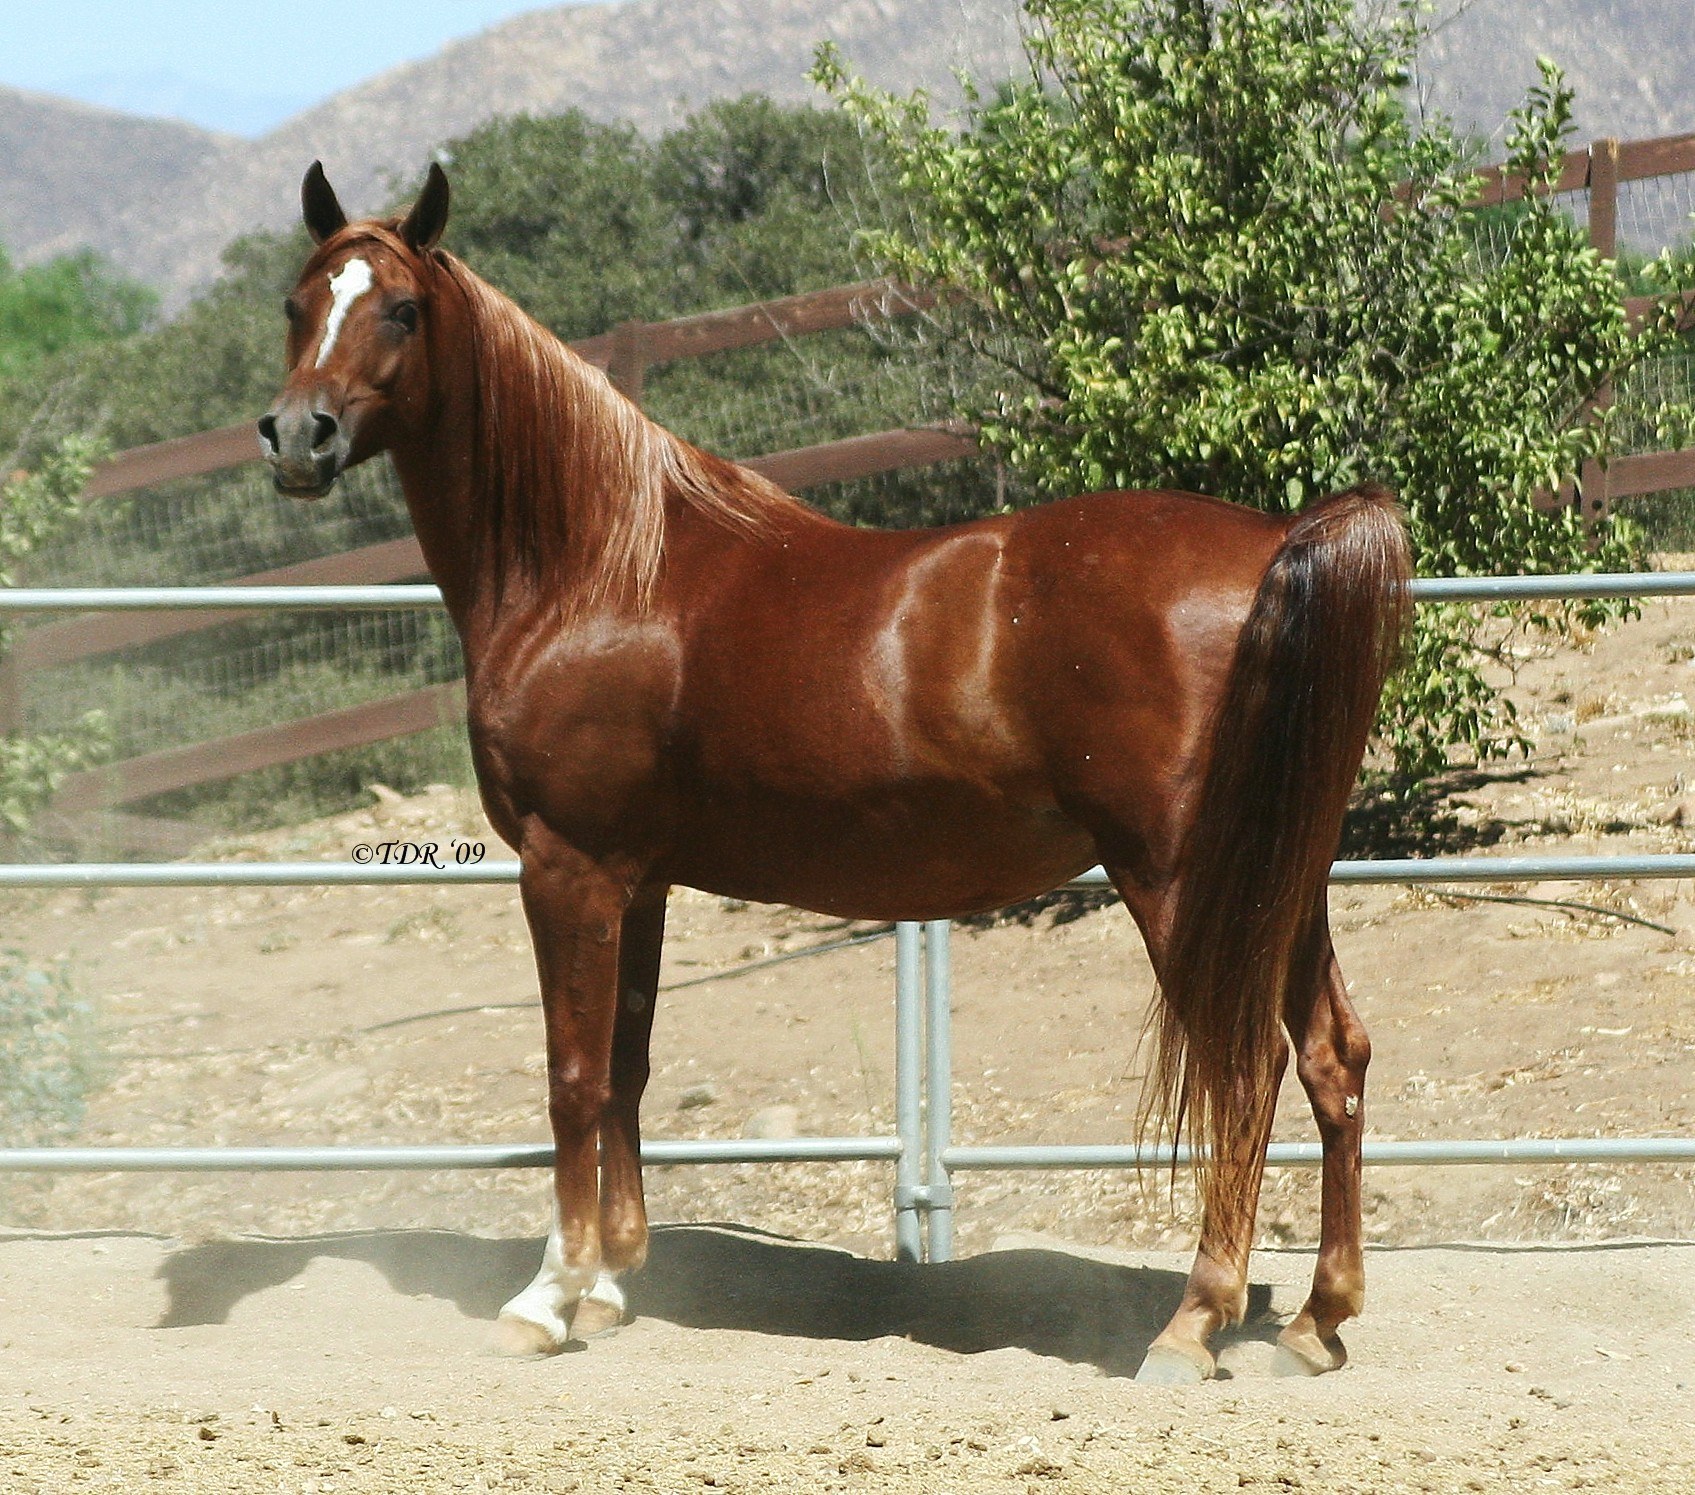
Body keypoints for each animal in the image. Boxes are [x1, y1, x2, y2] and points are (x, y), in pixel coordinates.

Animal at [260, 160, 1411, 1383]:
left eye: (400, 310)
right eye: (298, 302)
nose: (296, 437)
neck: (599, 569)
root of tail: (1278, 541)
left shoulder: (565, 868)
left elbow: (571, 1078)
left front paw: (549, 1294)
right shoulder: (638, 879)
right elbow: (625, 1067)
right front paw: (613, 1282)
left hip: (1183, 883)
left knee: (1245, 1073)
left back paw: (1193, 1323)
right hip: (1279, 879)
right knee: (1333, 1057)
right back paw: (1317, 1320)